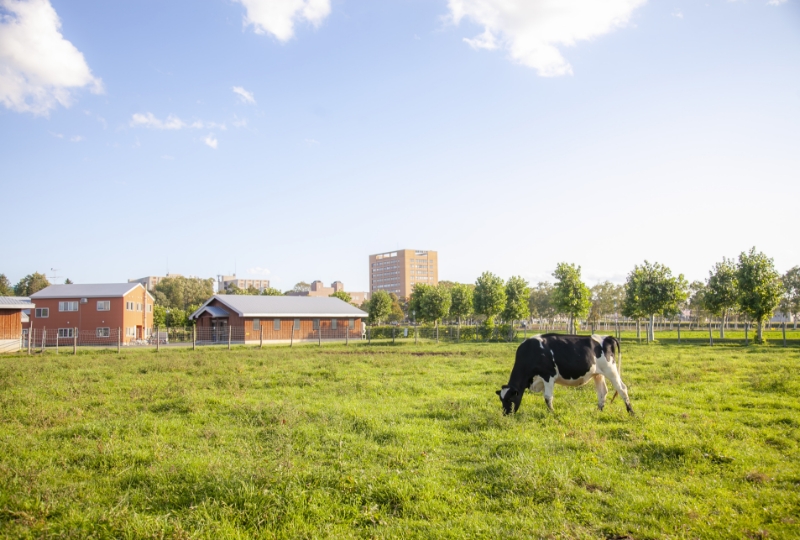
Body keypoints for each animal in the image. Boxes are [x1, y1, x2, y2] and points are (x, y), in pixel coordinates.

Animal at [494, 334, 632, 418]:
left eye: (510, 399)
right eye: (501, 399)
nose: (506, 415)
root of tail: (607, 337)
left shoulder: (548, 376)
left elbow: (548, 397)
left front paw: (552, 413)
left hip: (611, 370)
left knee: (622, 389)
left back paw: (631, 412)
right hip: (598, 374)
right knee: (602, 392)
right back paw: (599, 411)